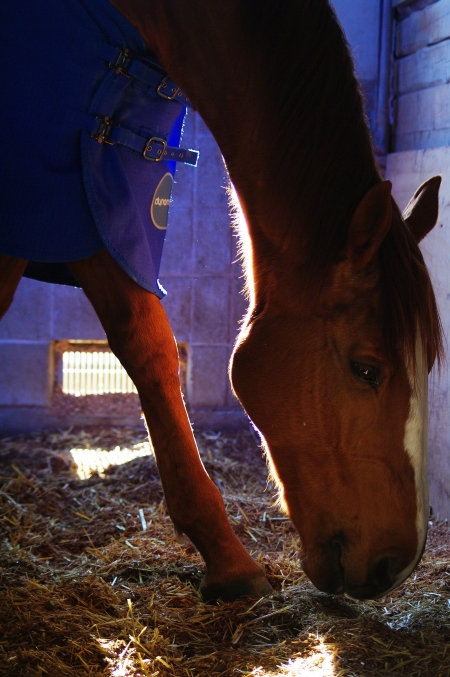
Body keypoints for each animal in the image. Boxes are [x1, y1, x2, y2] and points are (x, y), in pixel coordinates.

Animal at [0, 1, 442, 604]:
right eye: (367, 369)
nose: (395, 566)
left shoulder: (105, 196)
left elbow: (150, 349)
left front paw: (228, 561)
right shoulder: (66, 189)